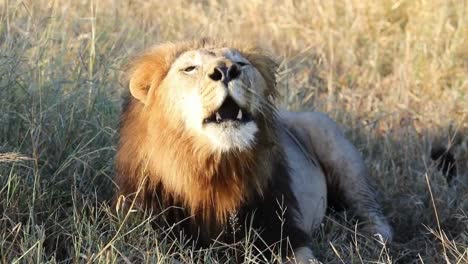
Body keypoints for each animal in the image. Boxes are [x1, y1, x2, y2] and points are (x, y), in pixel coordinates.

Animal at [115, 38, 394, 262]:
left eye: (241, 63)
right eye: (189, 68)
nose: (227, 70)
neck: (214, 170)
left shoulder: (282, 232)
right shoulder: (157, 233)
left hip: (332, 139)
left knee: (368, 205)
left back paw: (376, 238)